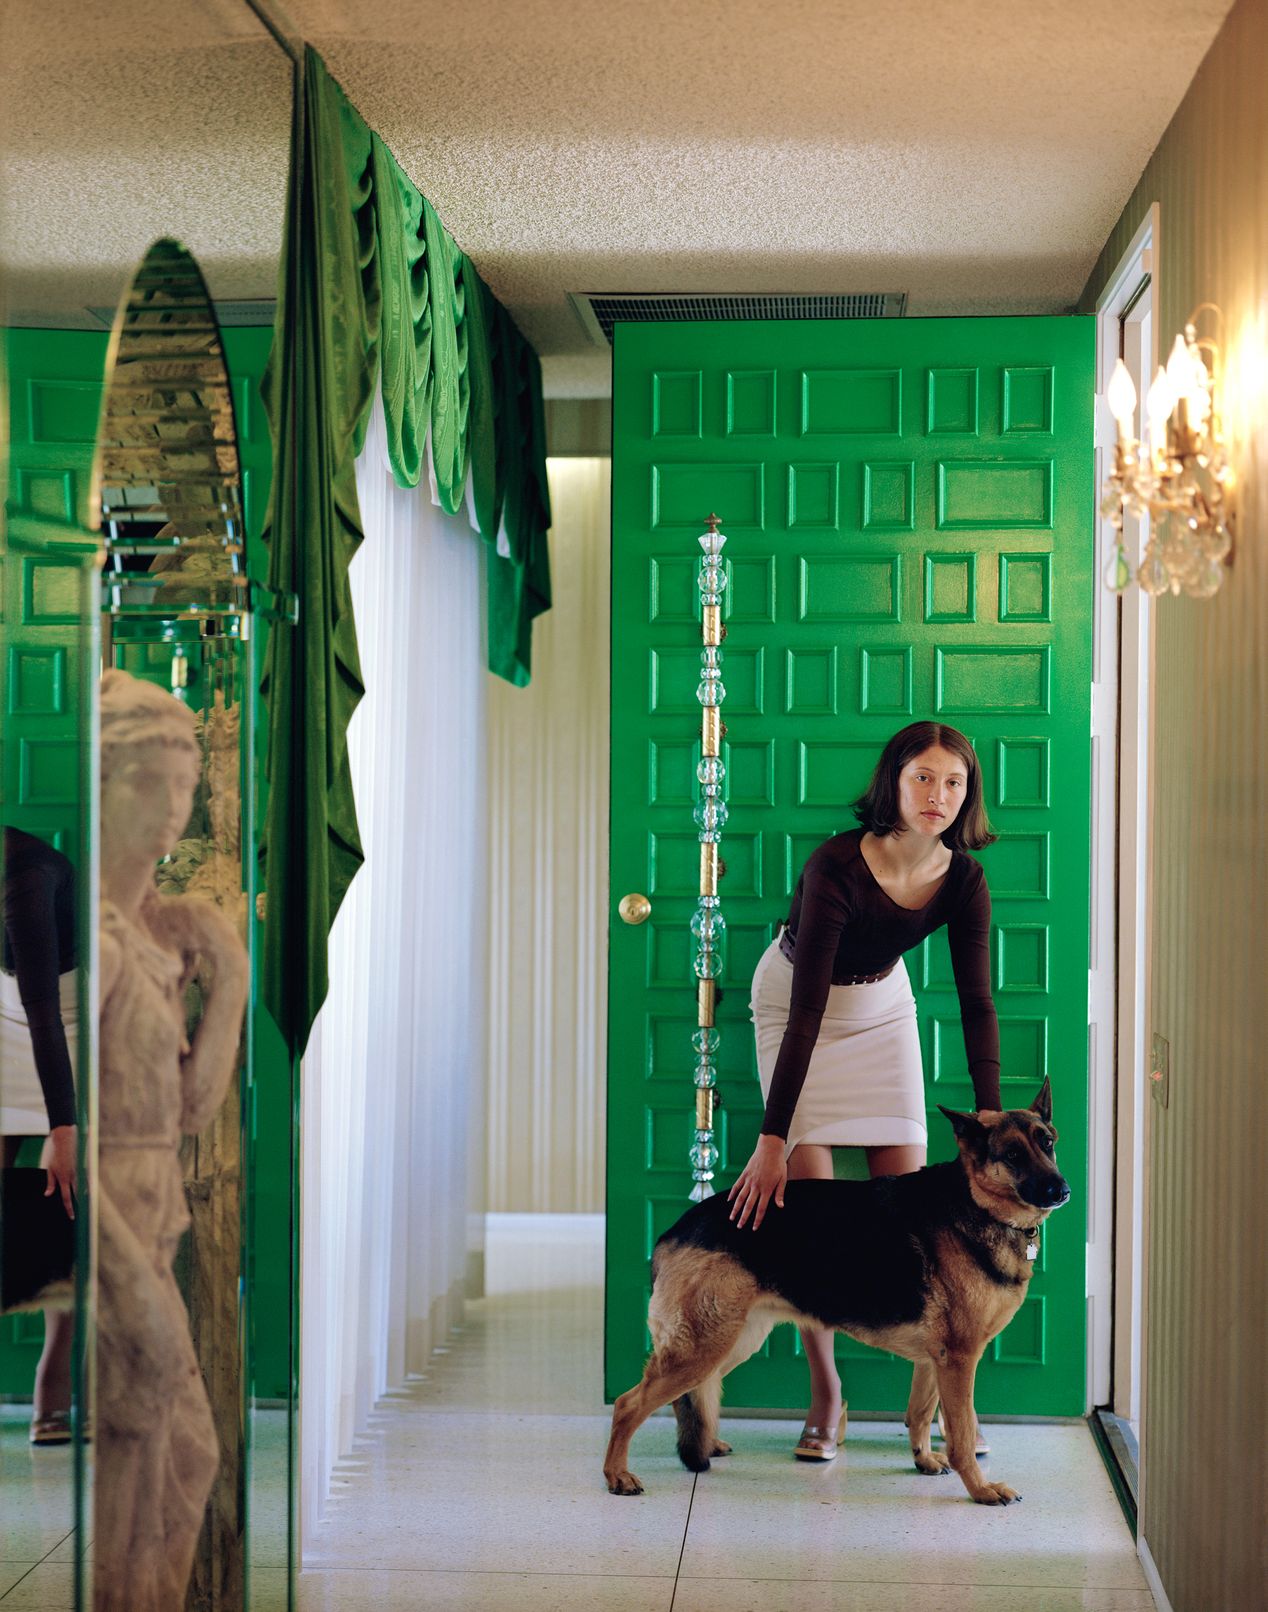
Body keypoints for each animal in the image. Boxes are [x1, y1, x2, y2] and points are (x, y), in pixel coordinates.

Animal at [605, 1076, 1069, 1502]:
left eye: (1047, 1143)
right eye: (1012, 1155)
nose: (1061, 1191)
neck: (976, 1201)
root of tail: (673, 1230)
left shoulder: (936, 1360)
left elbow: (920, 1413)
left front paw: (923, 1459)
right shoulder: (958, 1360)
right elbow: (961, 1433)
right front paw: (980, 1488)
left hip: (731, 1341)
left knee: (695, 1391)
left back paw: (705, 1442)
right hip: (703, 1347)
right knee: (628, 1404)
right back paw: (617, 1474)